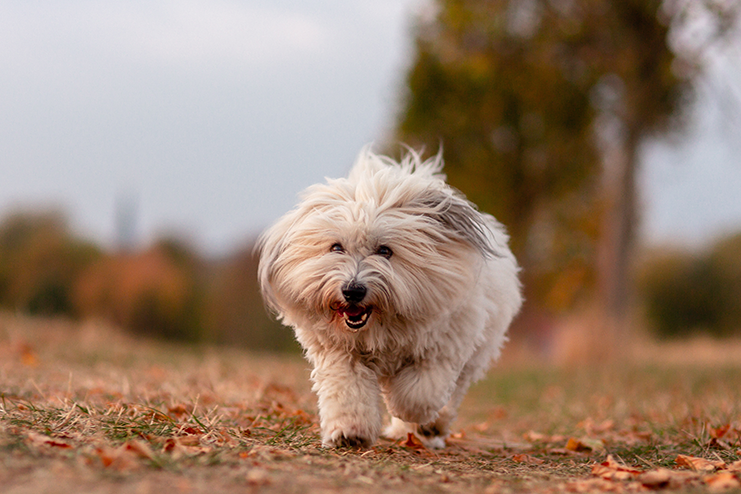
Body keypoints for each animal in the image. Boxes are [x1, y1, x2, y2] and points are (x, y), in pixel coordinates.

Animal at [258, 146, 520, 448]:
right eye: (336, 247)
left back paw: (428, 428)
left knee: (450, 395)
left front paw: (410, 413)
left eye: (384, 251)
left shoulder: (443, 347)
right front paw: (350, 431)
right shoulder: (339, 353)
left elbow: (419, 392)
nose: (353, 290)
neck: (381, 326)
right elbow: (348, 390)